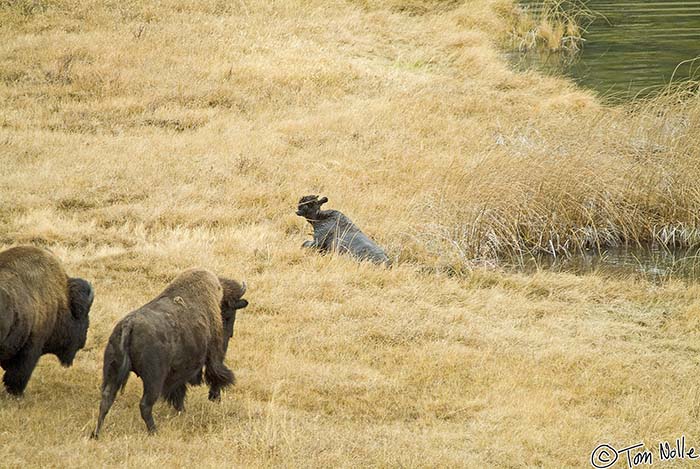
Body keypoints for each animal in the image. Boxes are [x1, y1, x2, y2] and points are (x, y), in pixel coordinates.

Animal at [91, 268, 247, 436]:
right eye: (229, 312)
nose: (230, 334)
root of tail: (129, 325)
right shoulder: (212, 357)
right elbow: (215, 375)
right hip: (154, 380)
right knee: (145, 405)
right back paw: (154, 431)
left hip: (112, 372)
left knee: (106, 400)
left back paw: (96, 434)